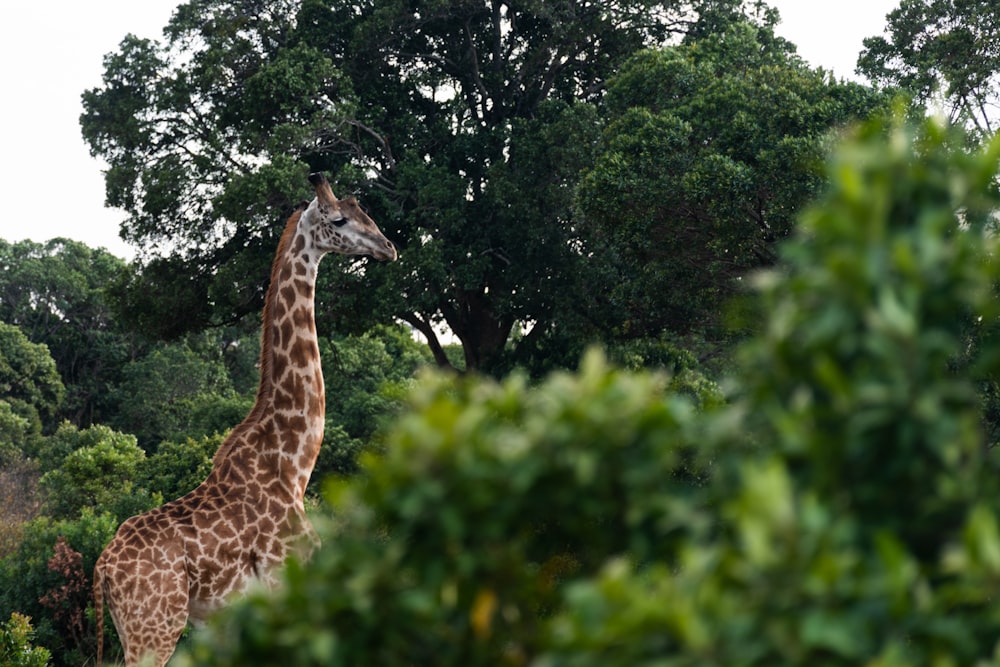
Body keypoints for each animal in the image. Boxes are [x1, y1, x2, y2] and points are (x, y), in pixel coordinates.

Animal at [91, 174, 394, 667]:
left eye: (363, 209)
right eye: (338, 219)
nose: (388, 247)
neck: (293, 465)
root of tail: (102, 568)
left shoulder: (228, 619)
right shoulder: (287, 585)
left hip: (136, 629)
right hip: (154, 629)